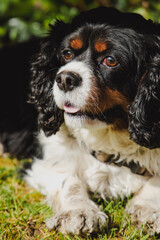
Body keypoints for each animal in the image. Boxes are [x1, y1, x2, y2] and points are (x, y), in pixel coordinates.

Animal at [1, 6, 160, 235]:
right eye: (67, 53)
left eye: (110, 60)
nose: (65, 79)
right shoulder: (42, 160)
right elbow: (68, 178)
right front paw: (78, 212)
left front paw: (148, 209)